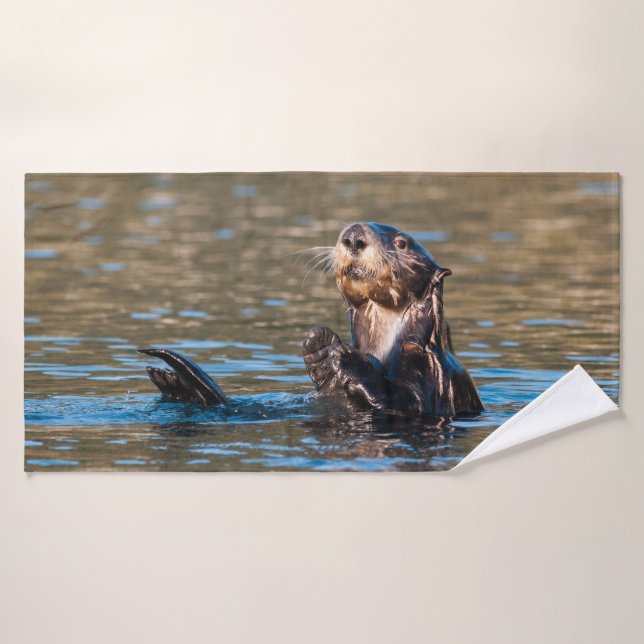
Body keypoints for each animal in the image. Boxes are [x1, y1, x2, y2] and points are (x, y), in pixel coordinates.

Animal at [139, 222, 483, 417]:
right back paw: (172, 382)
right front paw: (319, 346)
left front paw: (345, 358)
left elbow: (403, 402)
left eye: (402, 243)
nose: (354, 236)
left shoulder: (431, 373)